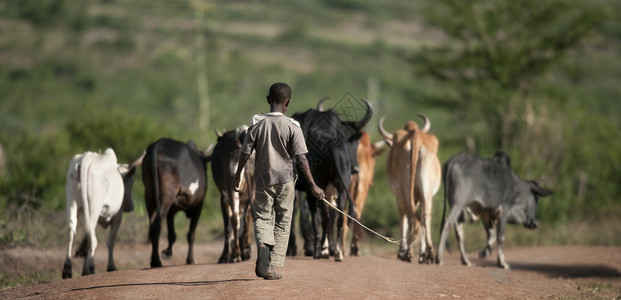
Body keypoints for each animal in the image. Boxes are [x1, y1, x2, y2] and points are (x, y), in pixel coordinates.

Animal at [62, 149, 144, 278]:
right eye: (132, 180)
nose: (132, 206)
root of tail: (86, 158)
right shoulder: (118, 216)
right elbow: (111, 241)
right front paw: (111, 266)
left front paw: (84, 271)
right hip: (94, 206)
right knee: (92, 238)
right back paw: (91, 267)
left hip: (72, 203)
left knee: (72, 231)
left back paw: (67, 268)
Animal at [211, 126, 254, 262]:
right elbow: (245, 219)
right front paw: (245, 248)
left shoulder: (223, 197)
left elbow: (227, 224)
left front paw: (225, 255)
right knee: (249, 215)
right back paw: (244, 251)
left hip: (232, 185)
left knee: (234, 217)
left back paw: (235, 254)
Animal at [288, 98, 370, 260]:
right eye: (354, 142)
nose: (355, 169)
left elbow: (318, 218)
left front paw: (321, 248)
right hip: (339, 189)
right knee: (334, 216)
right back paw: (334, 251)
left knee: (319, 216)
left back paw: (321, 250)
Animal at [378, 115, 440, 262]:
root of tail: (414, 135)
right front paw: (422, 253)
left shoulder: (398, 196)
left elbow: (403, 219)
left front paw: (402, 250)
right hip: (425, 191)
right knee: (424, 216)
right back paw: (428, 253)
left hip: (406, 191)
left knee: (411, 215)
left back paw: (408, 252)